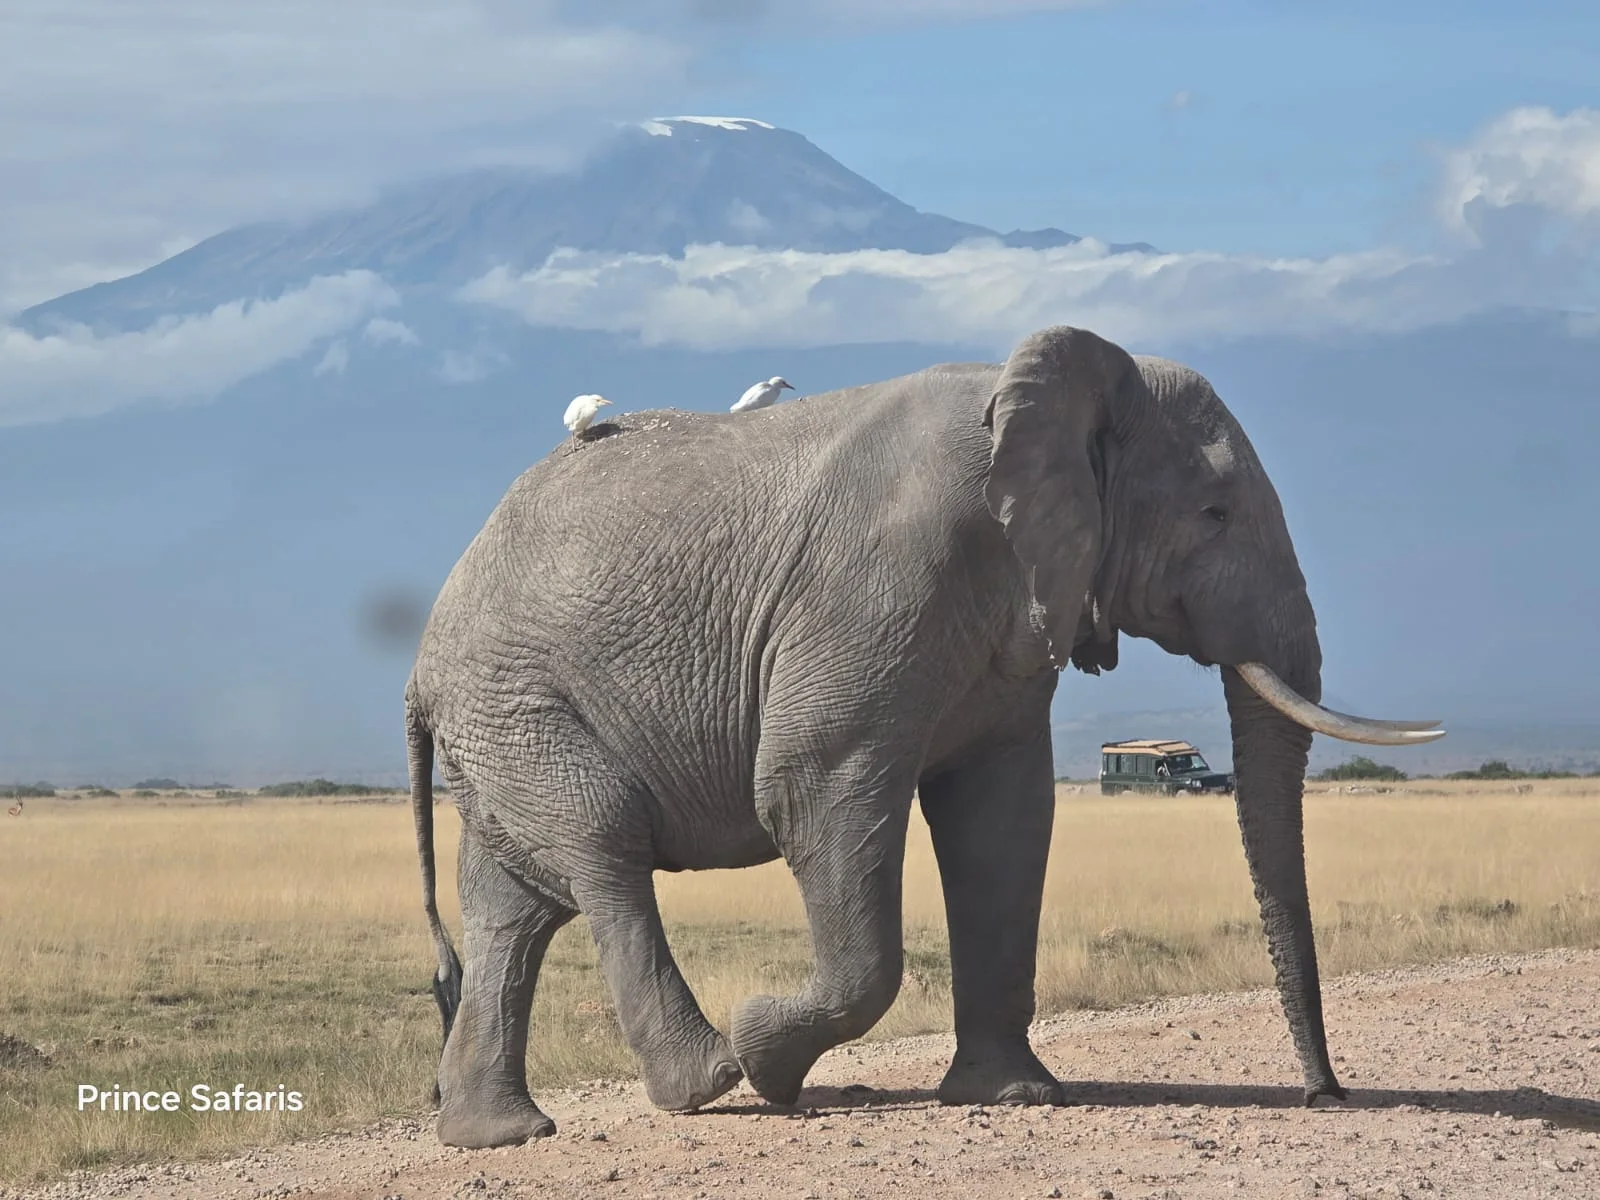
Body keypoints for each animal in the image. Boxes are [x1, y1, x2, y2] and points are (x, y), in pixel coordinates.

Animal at [404, 324, 1442, 1149]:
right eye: (1215, 513)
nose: (1324, 1097)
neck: (1044, 384)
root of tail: (421, 665)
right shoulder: (878, 586)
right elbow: (810, 785)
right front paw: (769, 1060)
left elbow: (1002, 821)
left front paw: (1015, 1098)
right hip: (518, 703)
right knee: (605, 854)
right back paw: (707, 1081)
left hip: (499, 726)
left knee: (513, 911)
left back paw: (500, 1135)